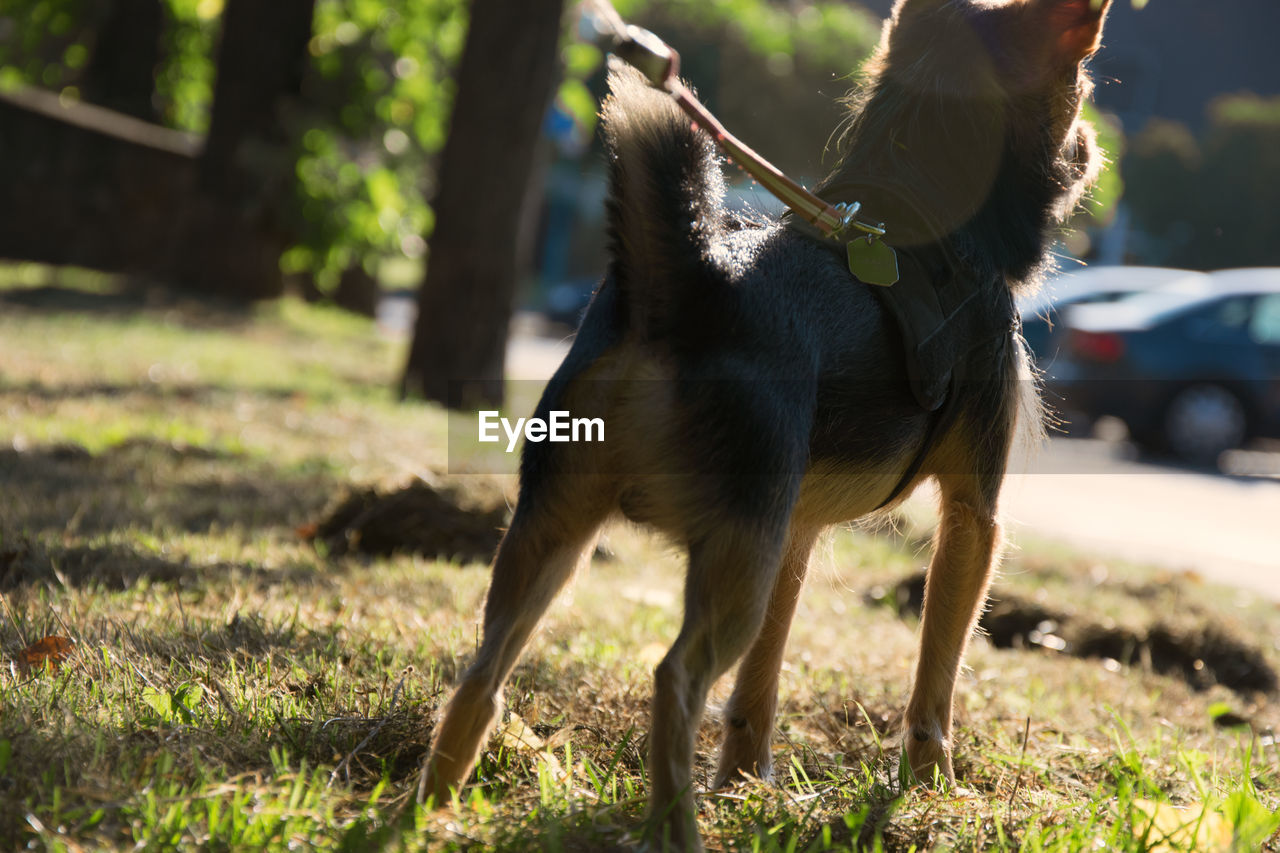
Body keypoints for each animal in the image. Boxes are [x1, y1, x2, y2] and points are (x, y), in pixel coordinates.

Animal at [424, 0, 1105, 845]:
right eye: (1082, 86)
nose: (1094, 144)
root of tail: (684, 289)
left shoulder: (792, 531)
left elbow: (760, 686)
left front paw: (749, 787)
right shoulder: (974, 517)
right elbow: (935, 682)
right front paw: (933, 793)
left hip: (562, 529)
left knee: (483, 672)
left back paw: (430, 809)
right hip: (729, 560)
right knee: (674, 678)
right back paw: (676, 827)